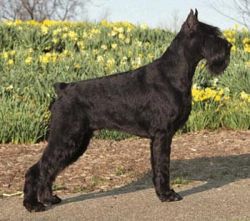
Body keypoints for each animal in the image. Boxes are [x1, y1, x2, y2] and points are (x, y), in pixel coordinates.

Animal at [23, 9, 230, 212]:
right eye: (212, 34)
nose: (229, 46)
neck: (174, 73)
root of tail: (63, 89)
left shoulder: (161, 136)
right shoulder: (162, 134)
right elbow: (162, 167)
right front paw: (166, 195)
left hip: (77, 142)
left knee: (49, 169)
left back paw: (49, 198)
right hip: (66, 137)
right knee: (37, 169)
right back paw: (32, 204)